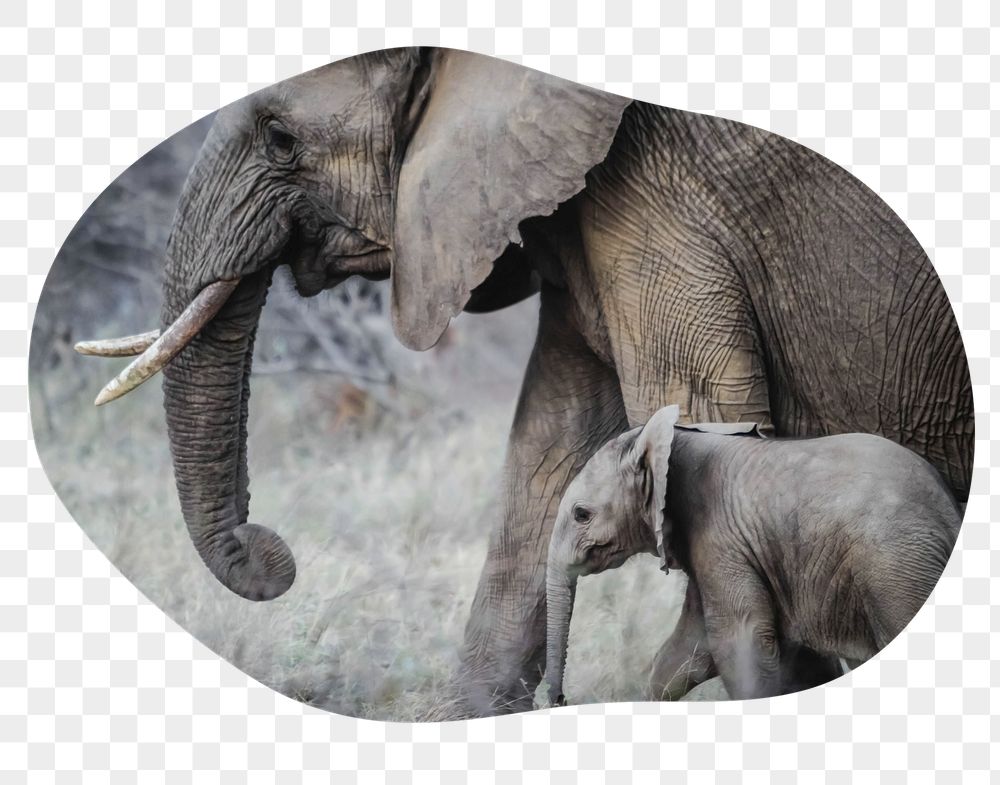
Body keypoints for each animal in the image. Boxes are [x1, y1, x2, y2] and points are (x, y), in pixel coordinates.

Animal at [545, 405, 962, 705]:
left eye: (581, 514)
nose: (560, 699)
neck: (672, 439)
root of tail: (949, 513)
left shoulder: (721, 537)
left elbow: (739, 643)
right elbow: (686, 652)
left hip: (895, 569)